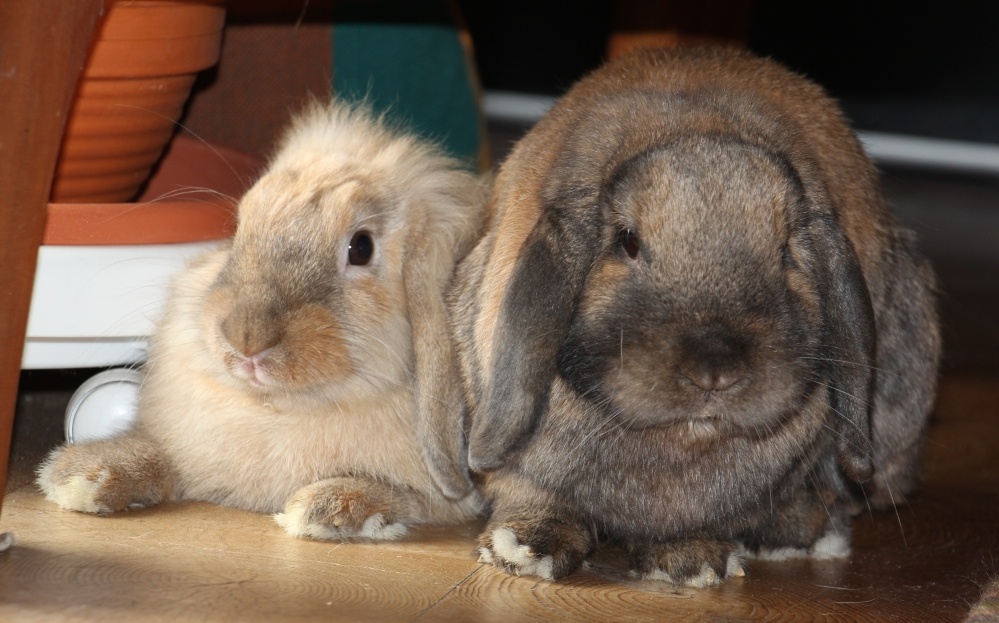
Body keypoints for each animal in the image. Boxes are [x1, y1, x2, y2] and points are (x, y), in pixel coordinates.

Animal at [38, 98, 488, 540]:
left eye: (361, 247)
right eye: (239, 226)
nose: (245, 338)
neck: (275, 406)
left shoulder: (439, 499)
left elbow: (407, 499)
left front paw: (327, 508)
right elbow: (165, 459)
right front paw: (80, 477)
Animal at [450, 47, 940, 584]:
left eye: (786, 251)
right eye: (628, 241)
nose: (714, 372)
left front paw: (689, 562)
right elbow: (532, 493)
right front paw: (524, 549)